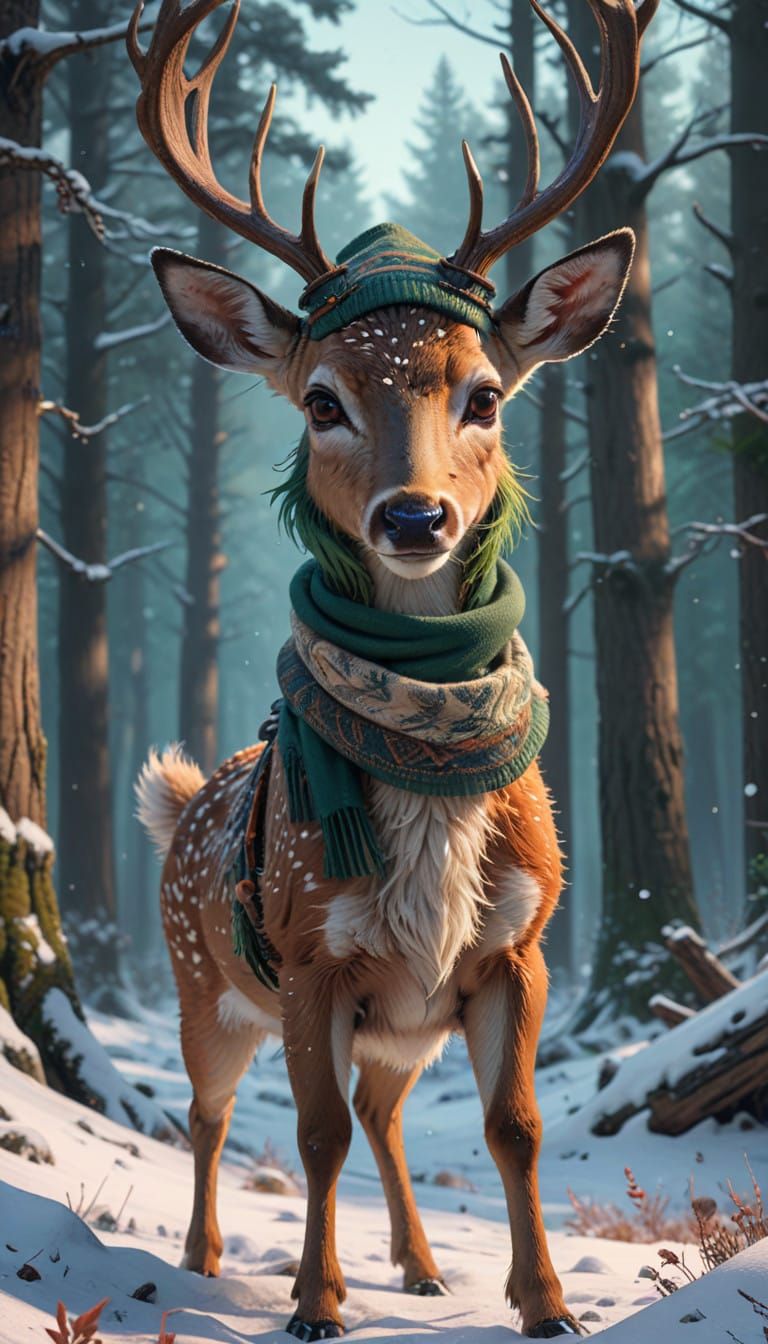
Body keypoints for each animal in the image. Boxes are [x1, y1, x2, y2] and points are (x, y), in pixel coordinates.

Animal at [129, 1, 657, 1338]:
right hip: (203, 980)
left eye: (486, 393)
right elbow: (309, 1135)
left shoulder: (516, 948)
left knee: (382, 1111)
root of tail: (182, 801)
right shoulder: (311, 951)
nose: (414, 517)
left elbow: (515, 1129)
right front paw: (316, 1302)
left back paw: (419, 1263)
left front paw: (546, 1303)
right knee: (216, 1115)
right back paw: (207, 1256)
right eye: (321, 400)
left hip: (401, 1024)